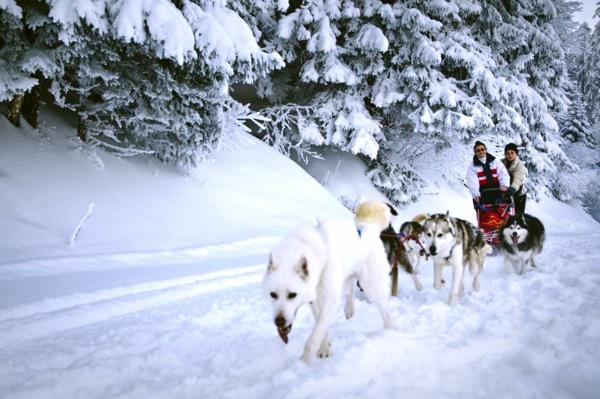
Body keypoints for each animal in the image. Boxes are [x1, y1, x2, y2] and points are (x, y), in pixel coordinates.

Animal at [262, 202, 394, 364]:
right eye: (273, 295)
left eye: (292, 295)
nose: (279, 322)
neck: (319, 253)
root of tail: (369, 227)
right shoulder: (314, 300)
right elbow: (321, 326)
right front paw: (325, 348)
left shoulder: (330, 300)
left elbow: (315, 334)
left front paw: (305, 361)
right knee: (350, 290)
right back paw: (349, 310)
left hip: (371, 288)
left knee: (386, 312)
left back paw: (389, 331)